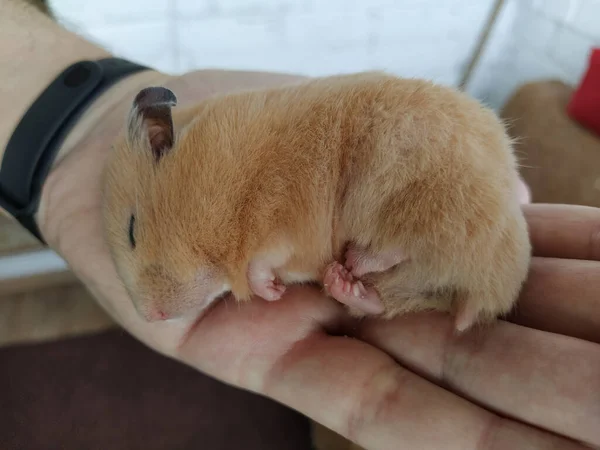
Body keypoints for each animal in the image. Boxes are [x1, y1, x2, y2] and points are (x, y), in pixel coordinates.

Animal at [102, 71, 528, 330]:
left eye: (132, 231)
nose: (150, 317)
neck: (236, 182)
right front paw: (275, 290)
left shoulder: (283, 211)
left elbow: (263, 259)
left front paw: (270, 290)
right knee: (391, 297)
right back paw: (343, 281)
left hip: (423, 186)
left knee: (411, 244)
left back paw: (356, 260)